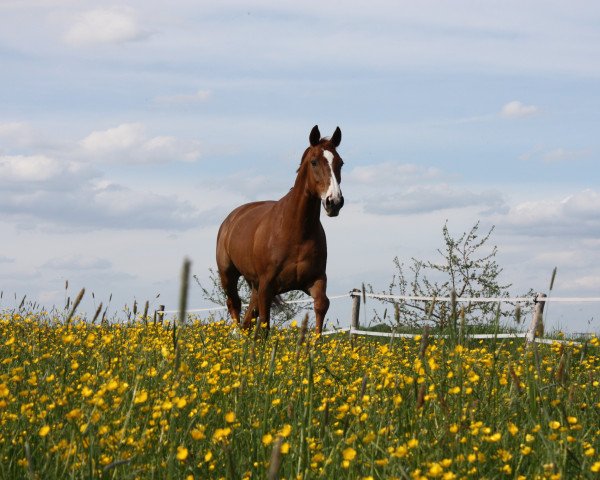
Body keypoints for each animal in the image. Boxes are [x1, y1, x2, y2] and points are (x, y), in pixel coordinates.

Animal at [217, 125, 344, 336]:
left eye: (340, 163)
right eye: (314, 162)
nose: (334, 202)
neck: (296, 231)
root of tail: (232, 218)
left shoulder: (315, 280)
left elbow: (321, 305)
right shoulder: (266, 286)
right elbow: (265, 322)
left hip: (254, 284)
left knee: (249, 315)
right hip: (228, 275)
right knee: (234, 304)